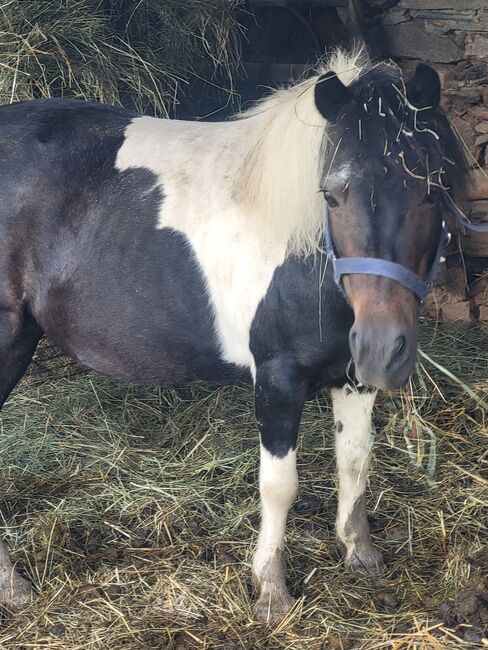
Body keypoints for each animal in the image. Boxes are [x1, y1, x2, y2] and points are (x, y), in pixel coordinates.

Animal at [0, 49, 468, 616]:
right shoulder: (277, 380)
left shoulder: (352, 377)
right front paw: (271, 589)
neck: (308, 255)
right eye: (332, 195)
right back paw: (13, 586)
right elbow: (280, 486)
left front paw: (359, 552)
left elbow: (355, 460)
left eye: (433, 189)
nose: (382, 347)